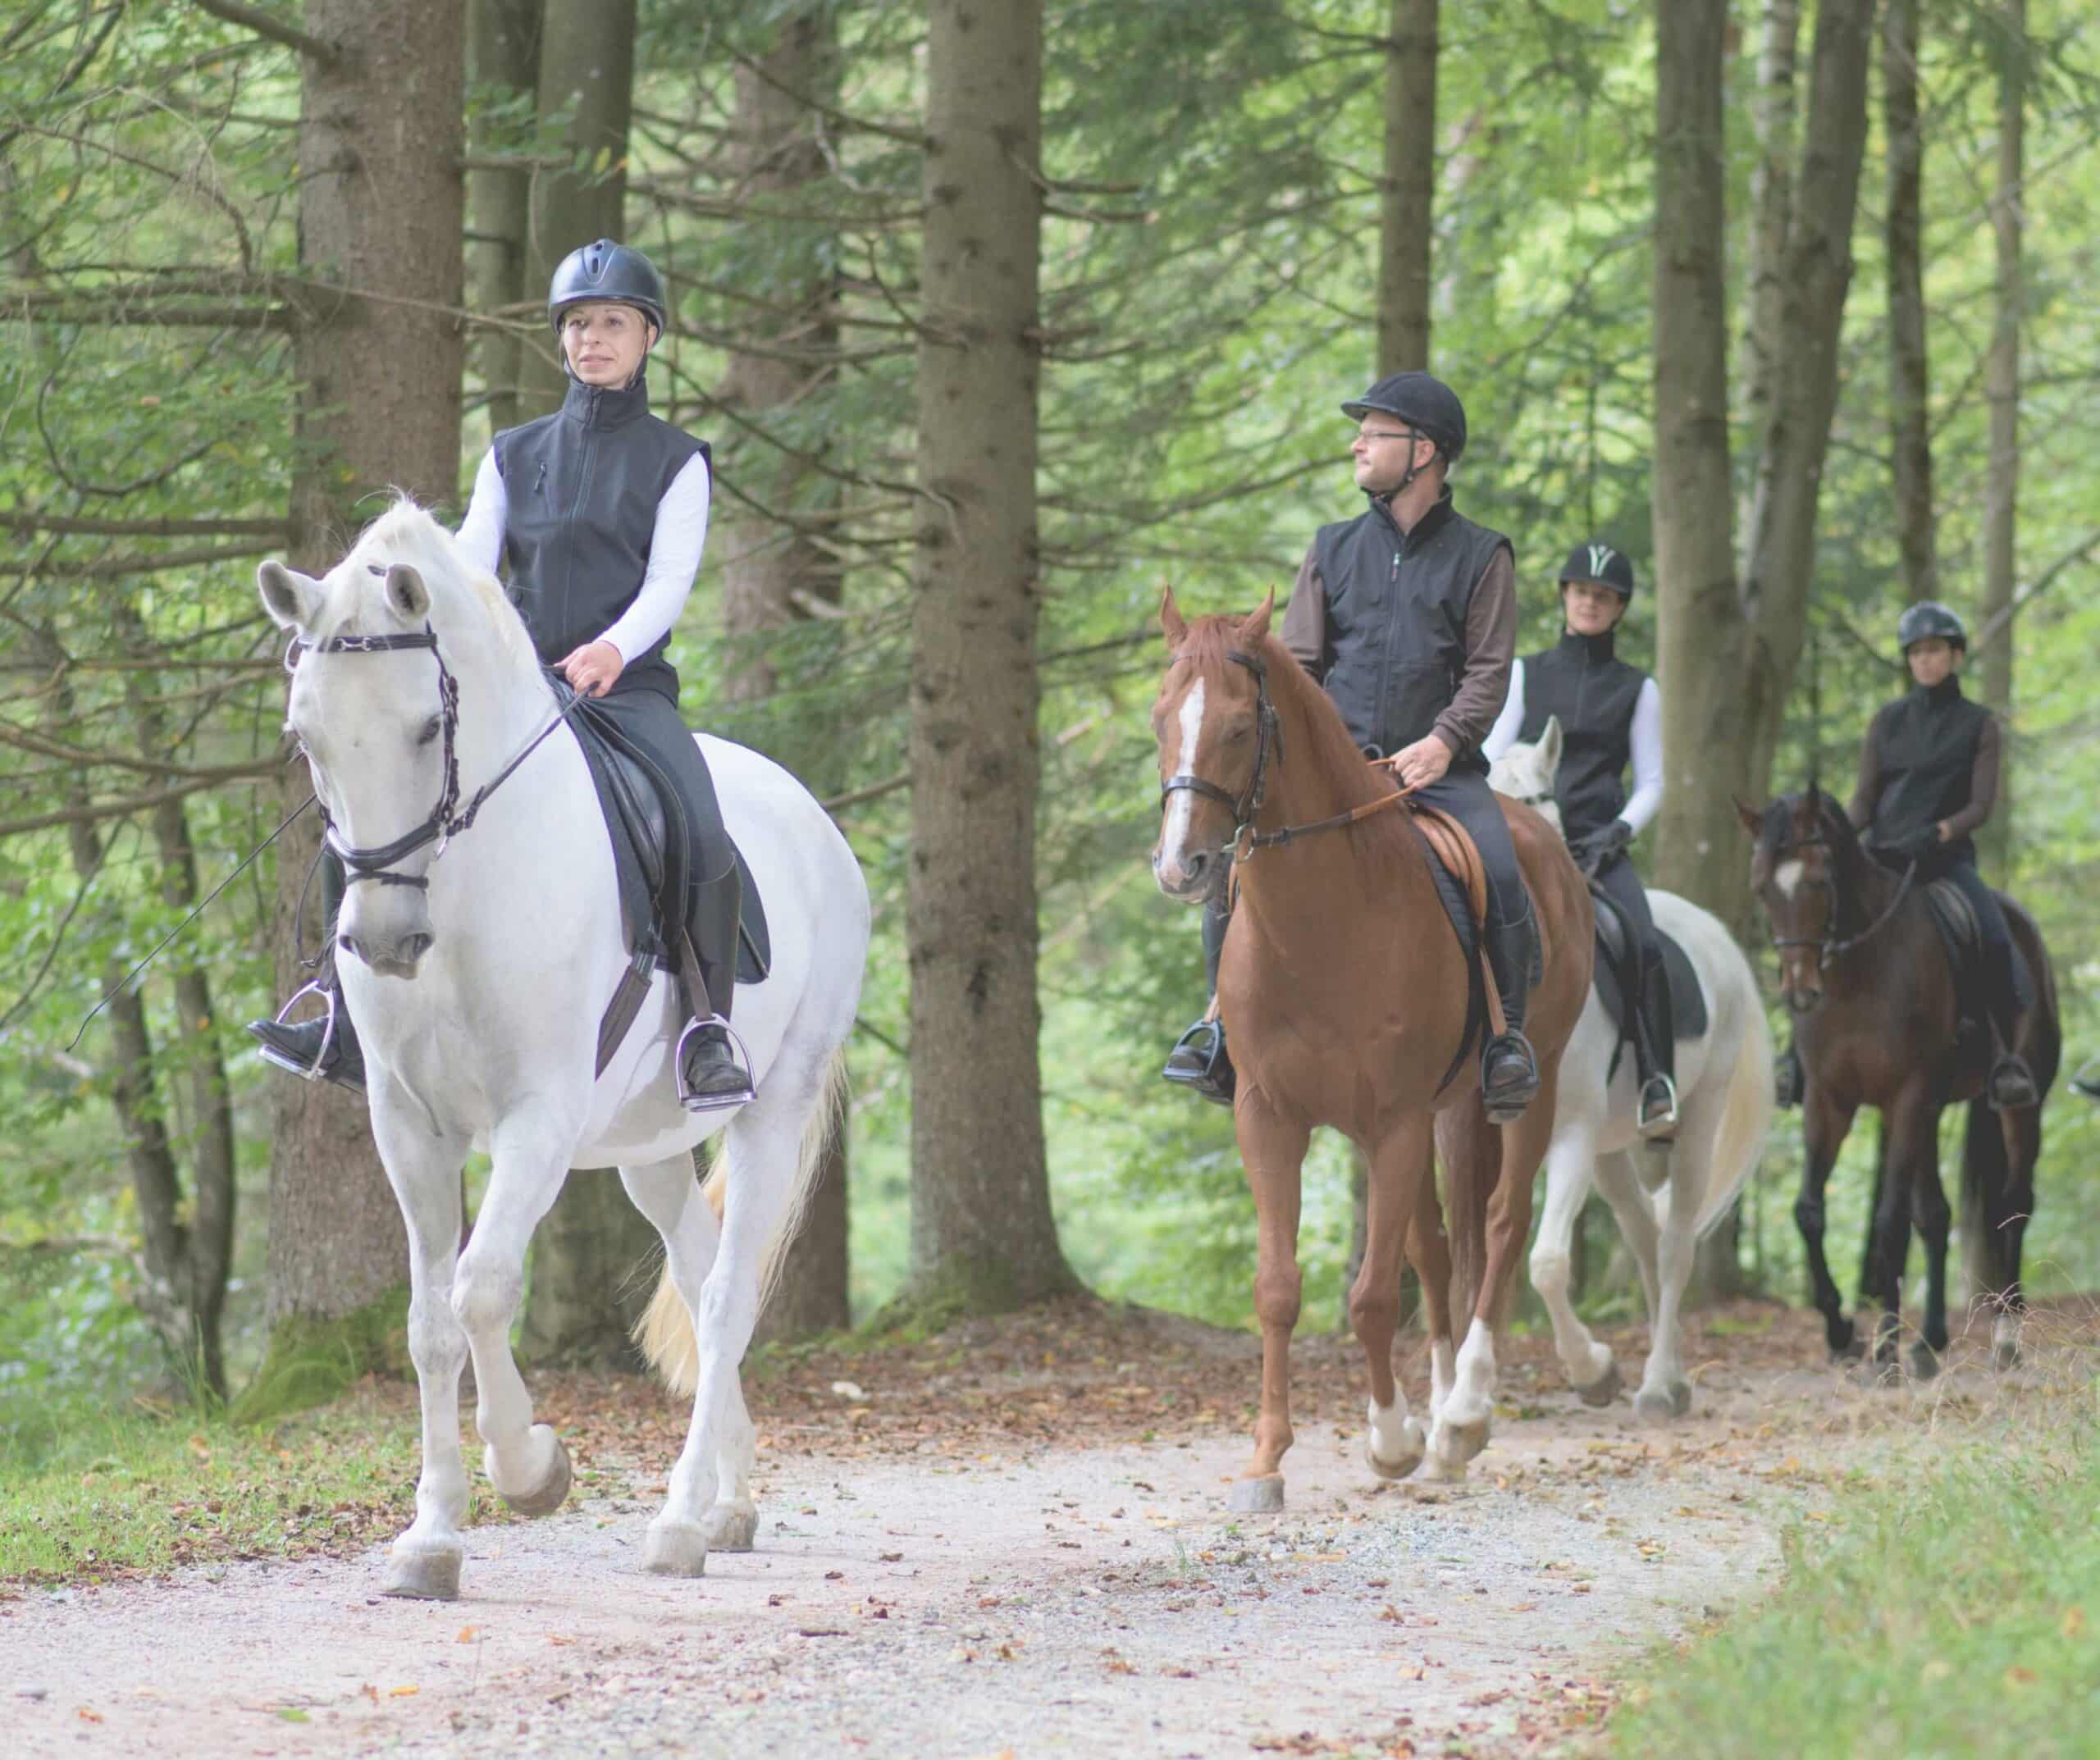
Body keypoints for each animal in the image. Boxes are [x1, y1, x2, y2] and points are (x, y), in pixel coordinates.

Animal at [256, 500, 868, 1599]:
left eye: (426, 726)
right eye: (305, 733)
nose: (383, 941)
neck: (464, 887)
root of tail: (816, 823)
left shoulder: (534, 1120)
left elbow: (484, 1289)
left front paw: (531, 1466)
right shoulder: (407, 1125)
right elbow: (428, 1323)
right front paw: (431, 1538)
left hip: (773, 1108)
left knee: (726, 1297)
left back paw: (679, 1522)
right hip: (648, 1150)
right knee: (701, 1274)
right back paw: (730, 1503)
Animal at [1149, 590, 1590, 1507]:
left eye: (1240, 727)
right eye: (1160, 719)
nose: (1182, 867)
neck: (1322, 921)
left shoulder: (1391, 1123)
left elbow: (1372, 1297)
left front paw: (1391, 1441)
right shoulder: (1270, 1116)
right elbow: (1280, 1290)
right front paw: (1267, 1460)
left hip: (1524, 1090)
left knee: (1501, 1224)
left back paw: (1463, 1415)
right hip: (1441, 1113)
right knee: (1439, 1244)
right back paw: (1440, 1414)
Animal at [1487, 723, 1773, 1419]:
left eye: (1534, 800)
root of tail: (1716, 936)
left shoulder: (1568, 1134)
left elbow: (1548, 1262)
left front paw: (1592, 1370)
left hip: (1695, 1120)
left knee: (1674, 1246)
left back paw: (1658, 1386)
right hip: (1610, 1149)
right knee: (1644, 1234)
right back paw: (1671, 1375)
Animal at [1737, 786, 2059, 1377]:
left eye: (1819, 881)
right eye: (1762, 888)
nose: (1799, 993)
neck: (1859, 972)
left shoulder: (1906, 1096)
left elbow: (1888, 1221)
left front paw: (1883, 1348)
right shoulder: (1830, 1101)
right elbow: (1810, 1212)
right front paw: (1843, 1332)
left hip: (2018, 1107)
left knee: (2013, 1204)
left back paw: (2006, 1336)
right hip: (1930, 1113)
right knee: (1935, 1215)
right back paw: (1929, 1342)